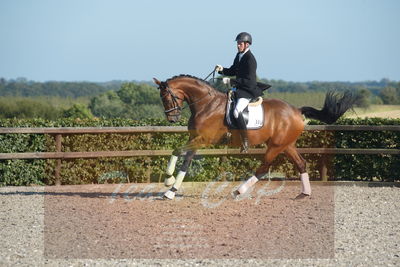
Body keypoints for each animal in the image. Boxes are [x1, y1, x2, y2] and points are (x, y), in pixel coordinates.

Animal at [153, 74, 356, 200]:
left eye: (167, 97)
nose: (172, 118)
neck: (206, 104)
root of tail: (297, 111)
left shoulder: (203, 140)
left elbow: (176, 150)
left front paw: (168, 180)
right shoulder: (195, 140)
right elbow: (185, 163)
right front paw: (171, 190)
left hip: (275, 146)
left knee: (264, 167)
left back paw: (238, 191)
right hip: (286, 145)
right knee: (301, 164)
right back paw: (304, 194)